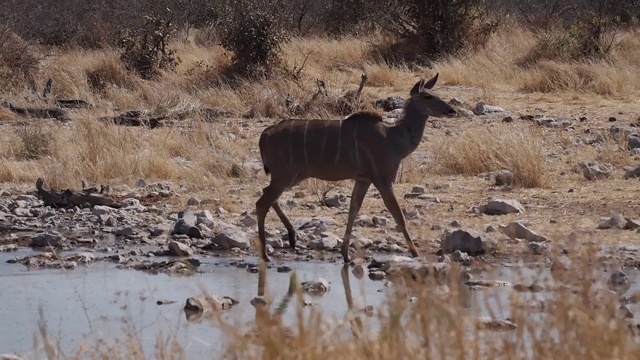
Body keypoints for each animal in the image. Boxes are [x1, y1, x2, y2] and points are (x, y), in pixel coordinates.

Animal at [255, 73, 456, 264]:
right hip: (285, 175)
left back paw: (292, 237)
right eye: (427, 96)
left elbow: (353, 210)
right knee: (262, 202)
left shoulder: (363, 179)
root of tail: (264, 135)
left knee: (267, 195)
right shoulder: (383, 179)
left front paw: (346, 255)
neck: (393, 137)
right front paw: (415, 253)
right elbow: (398, 215)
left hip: (292, 176)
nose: (451, 110)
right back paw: (266, 255)